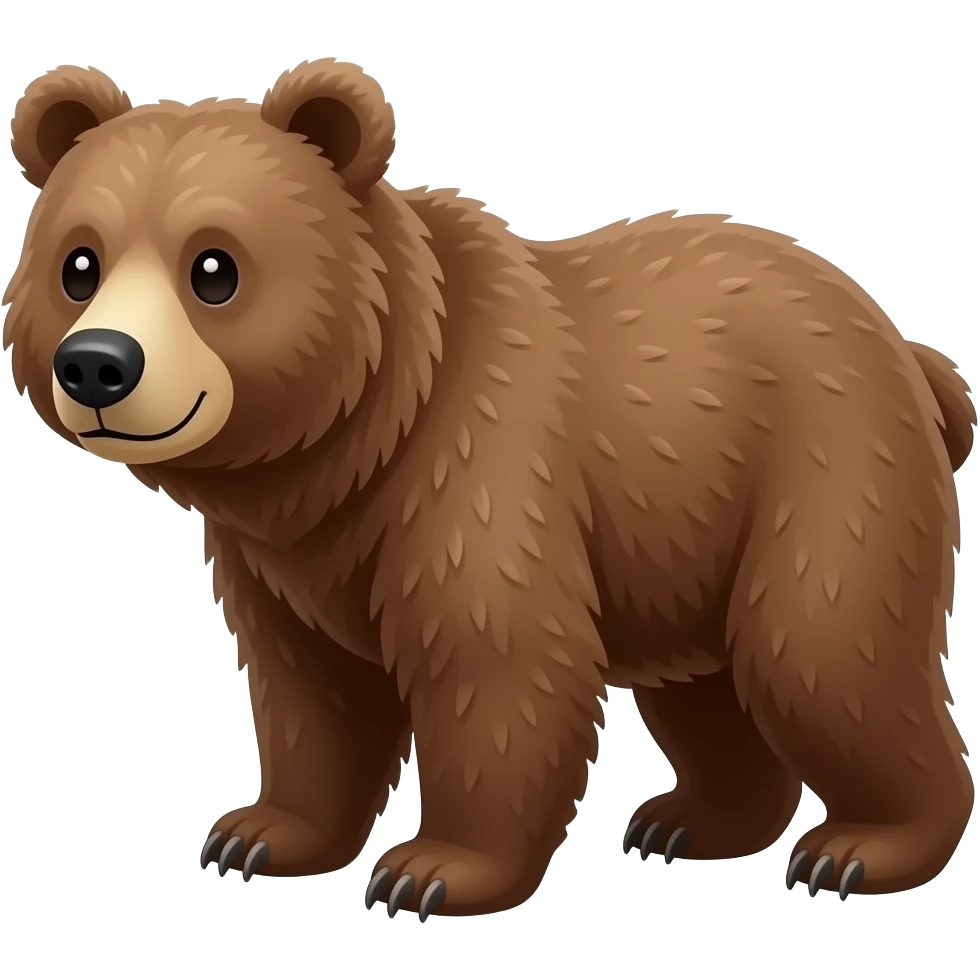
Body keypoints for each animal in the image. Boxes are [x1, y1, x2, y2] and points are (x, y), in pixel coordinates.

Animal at [3, 58, 975, 919]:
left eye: (214, 267)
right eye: (78, 263)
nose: (97, 364)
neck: (353, 447)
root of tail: (906, 348)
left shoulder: (478, 463)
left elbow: (495, 662)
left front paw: (432, 869)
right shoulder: (281, 558)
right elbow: (310, 690)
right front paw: (261, 832)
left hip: (825, 469)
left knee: (819, 650)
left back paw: (861, 846)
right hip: (687, 527)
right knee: (709, 687)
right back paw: (692, 821)